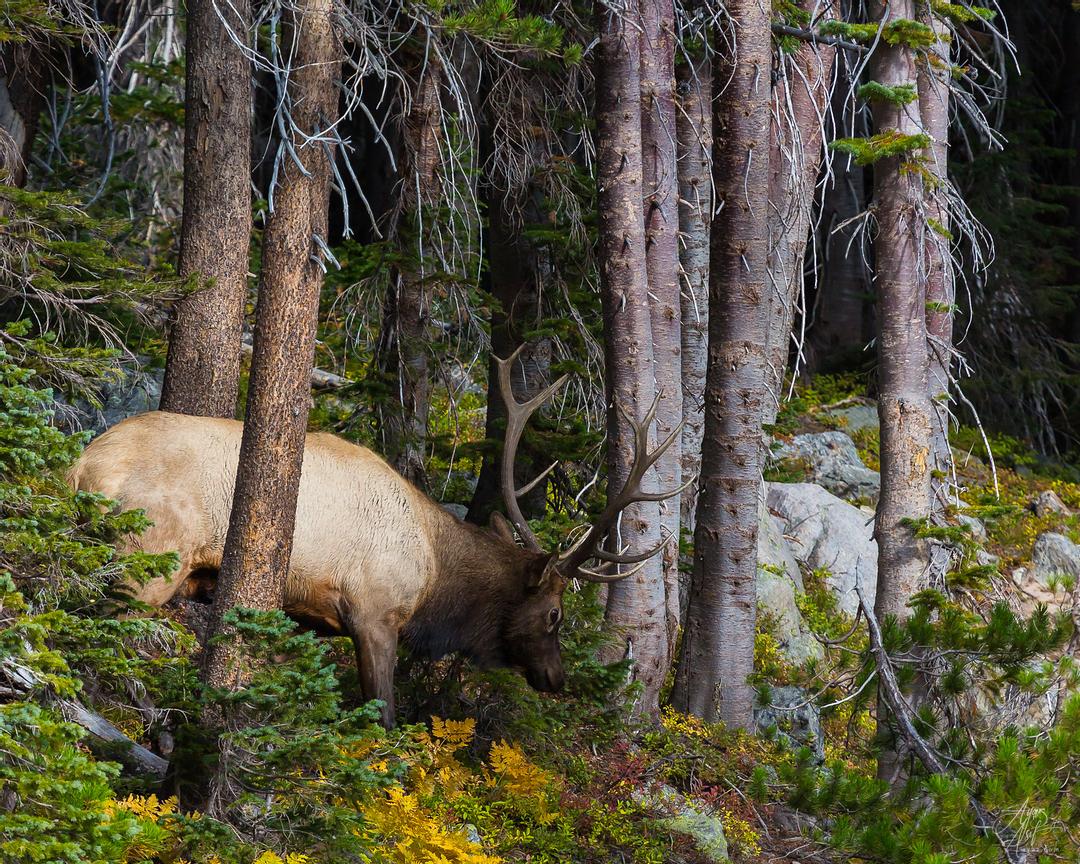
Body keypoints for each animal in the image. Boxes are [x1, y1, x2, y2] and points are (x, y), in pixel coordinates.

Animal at [68, 347, 687, 727]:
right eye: (555, 614)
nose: (558, 679)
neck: (437, 580)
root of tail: (81, 468)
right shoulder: (374, 614)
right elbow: (384, 715)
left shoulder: (307, 618)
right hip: (149, 560)